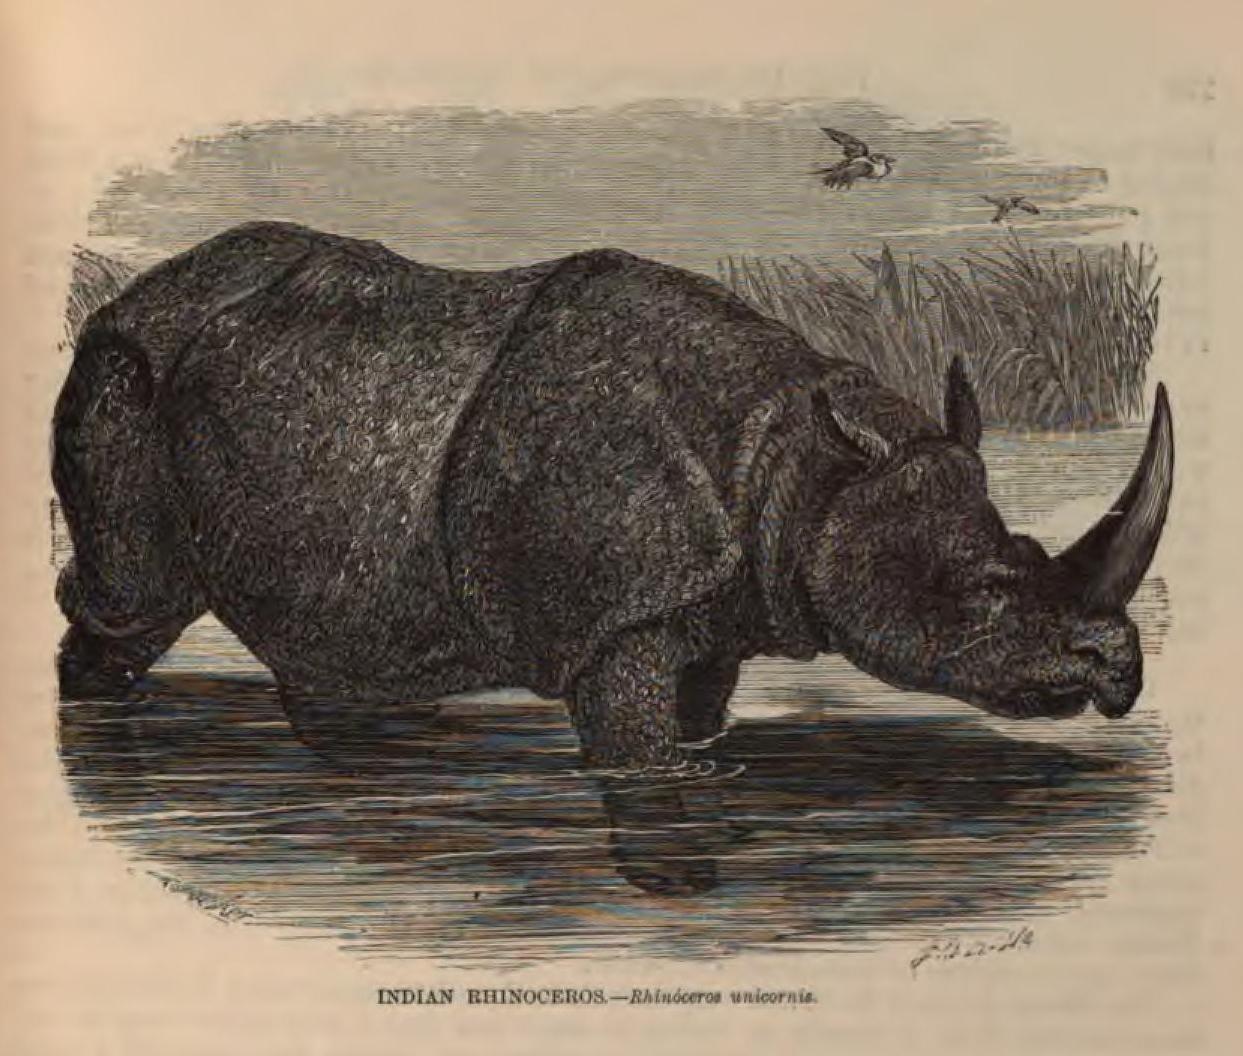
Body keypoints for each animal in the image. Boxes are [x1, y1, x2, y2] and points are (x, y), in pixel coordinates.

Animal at [53, 221, 1174, 773]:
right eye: (984, 587)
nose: (1116, 666)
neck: (802, 465)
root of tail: (136, 294)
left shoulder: (717, 608)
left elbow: (697, 718)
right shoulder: (609, 621)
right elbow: (632, 756)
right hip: (120, 370)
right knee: (131, 603)